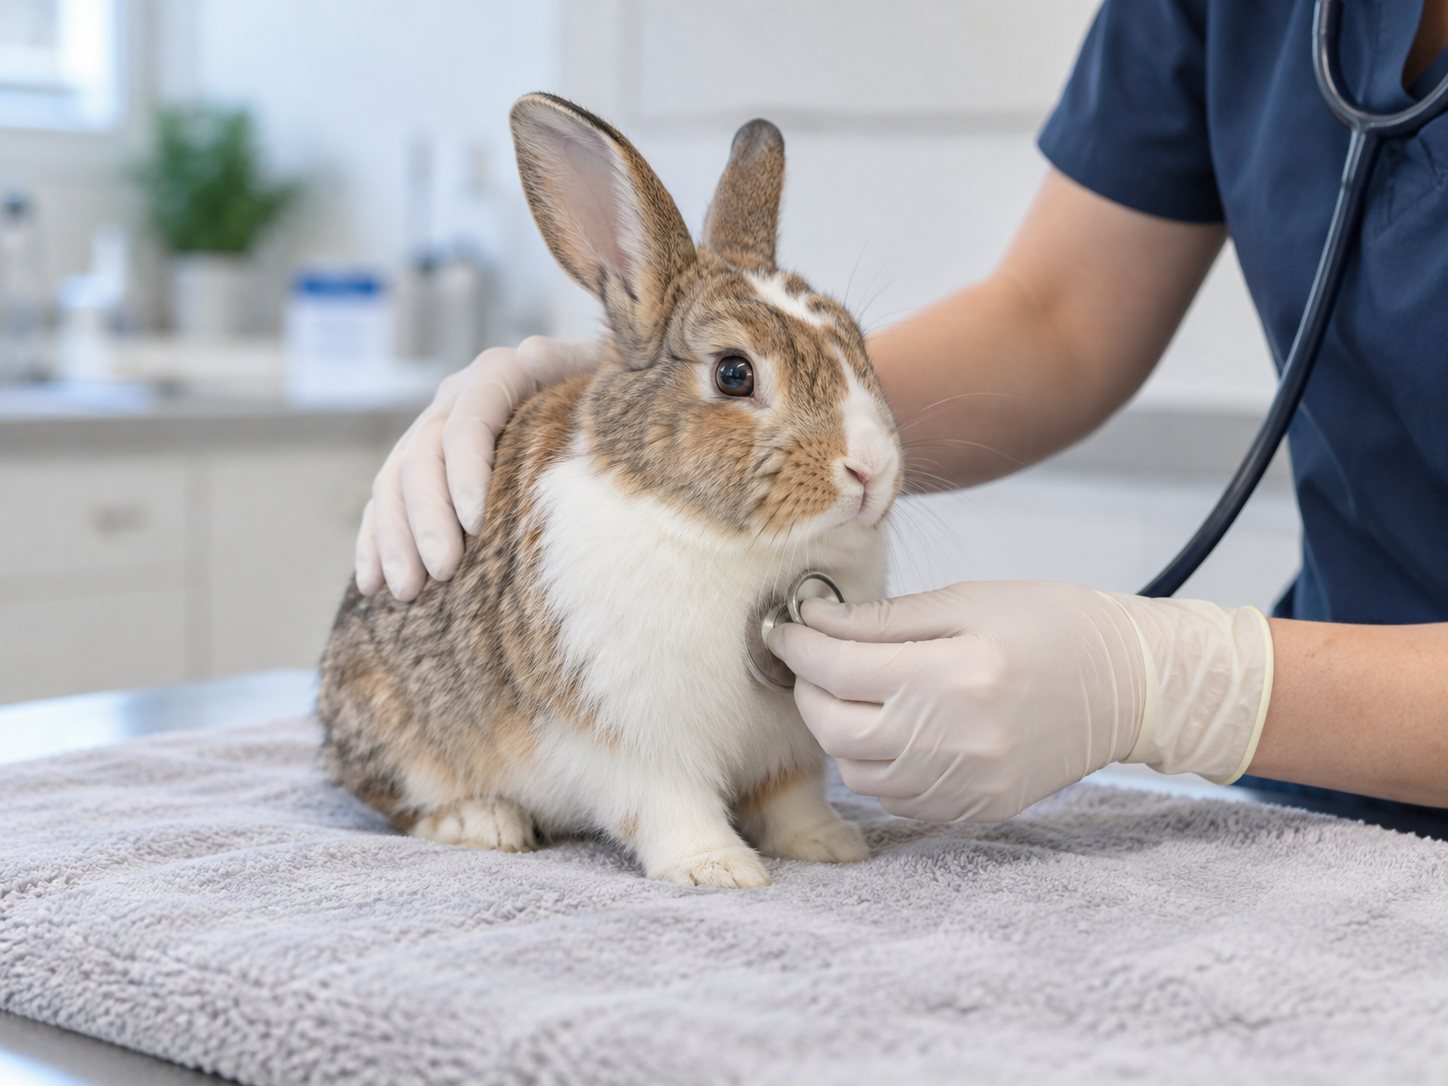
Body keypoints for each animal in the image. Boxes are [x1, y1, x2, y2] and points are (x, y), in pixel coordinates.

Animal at [318, 92, 902, 889]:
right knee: (396, 795)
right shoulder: (634, 739)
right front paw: (718, 870)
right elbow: (668, 805)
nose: (870, 469)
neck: (730, 543)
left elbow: (792, 799)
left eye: (857, 343)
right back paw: (482, 822)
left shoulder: (786, 750)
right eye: (734, 374)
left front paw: (829, 844)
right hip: (399, 727)